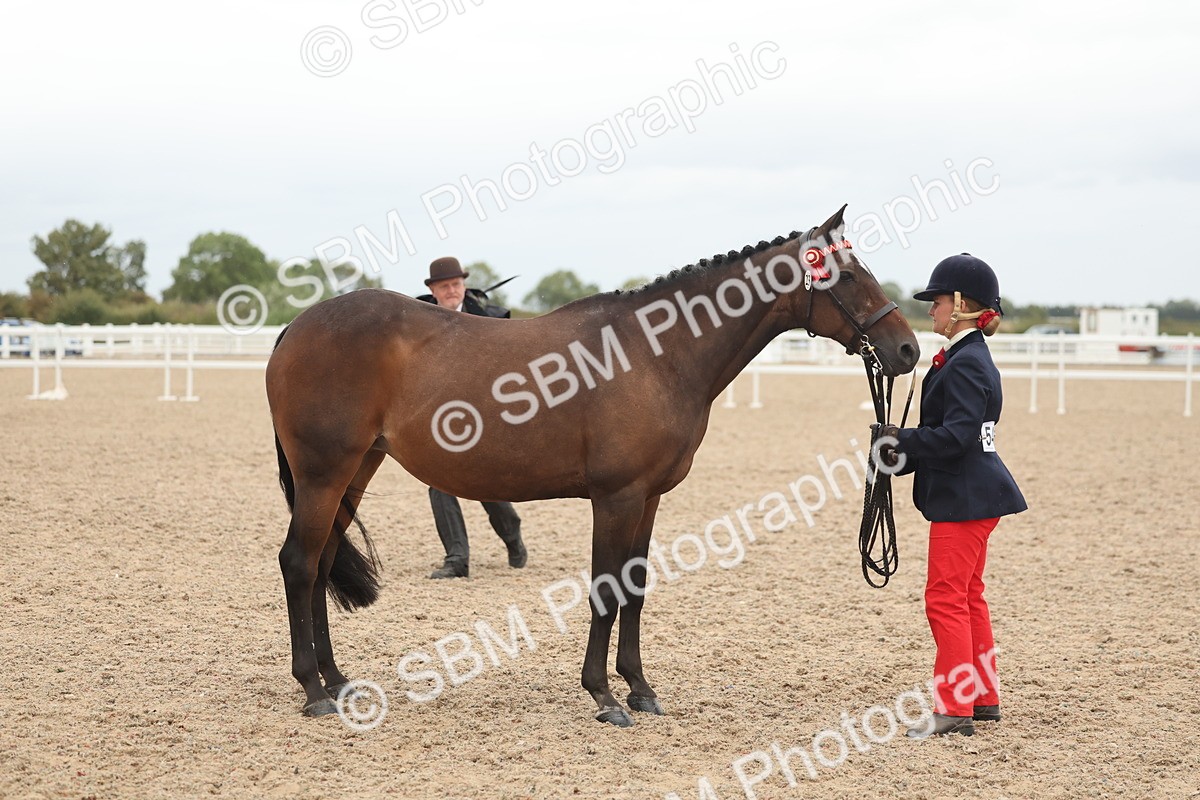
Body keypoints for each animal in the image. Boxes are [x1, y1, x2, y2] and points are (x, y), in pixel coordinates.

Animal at [266, 205, 919, 725]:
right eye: (847, 274)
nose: (908, 348)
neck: (656, 354)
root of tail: (297, 325)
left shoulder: (649, 498)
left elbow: (635, 587)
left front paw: (640, 690)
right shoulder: (617, 496)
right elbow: (606, 590)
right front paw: (604, 696)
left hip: (356, 470)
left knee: (321, 564)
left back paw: (337, 682)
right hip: (325, 473)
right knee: (299, 563)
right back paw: (314, 691)